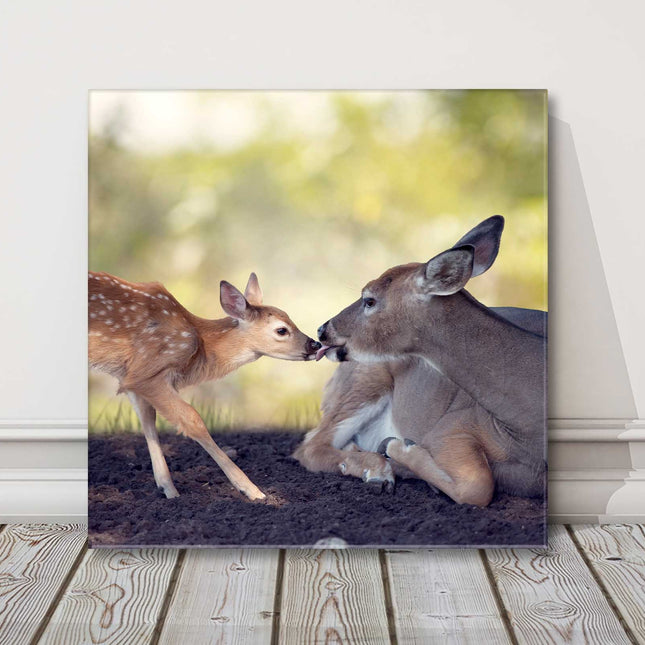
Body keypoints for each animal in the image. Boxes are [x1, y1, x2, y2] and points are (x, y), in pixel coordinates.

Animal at [89, 271, 321, 501]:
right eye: (281, 330)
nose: (315, 344)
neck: (200, 345)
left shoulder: (130, 376)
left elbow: (148, 420)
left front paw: (168, 490)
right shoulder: (148, 371)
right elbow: (193, 420)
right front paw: (252, 490)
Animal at [294, 216, 547, 507]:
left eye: (369, 300)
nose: (323, 330)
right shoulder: (451, 427)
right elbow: (478, 486)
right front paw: (398, 448)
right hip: (364, 381)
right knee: (311, 446)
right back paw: (379, 471)